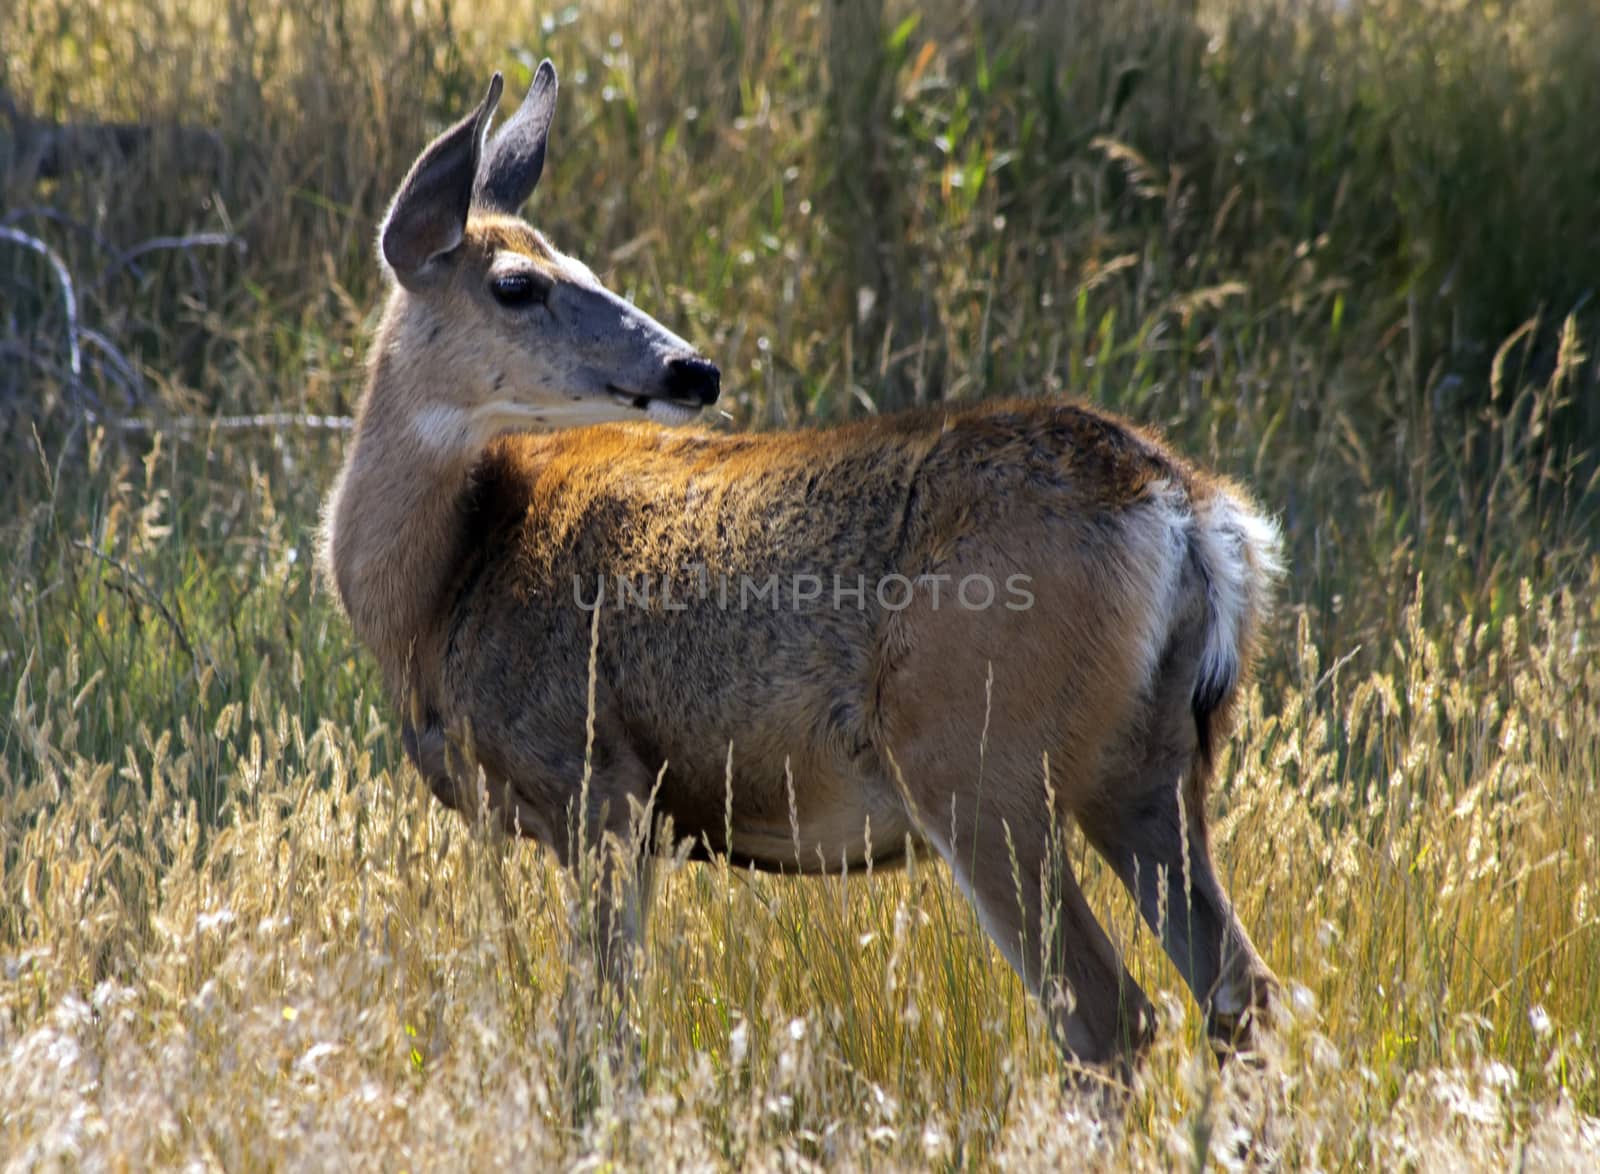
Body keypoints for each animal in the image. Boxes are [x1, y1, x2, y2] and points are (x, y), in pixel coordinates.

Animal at [318, 61, 1280, 1074]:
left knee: (1110, 1015)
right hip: (1150, 770)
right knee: (1239, 993)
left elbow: (606, 1031)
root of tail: (1189, 511)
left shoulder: (592, 780)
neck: (445, 584)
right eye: (517, 282)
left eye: (572, 271)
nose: (692, 369)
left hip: (977, 757)